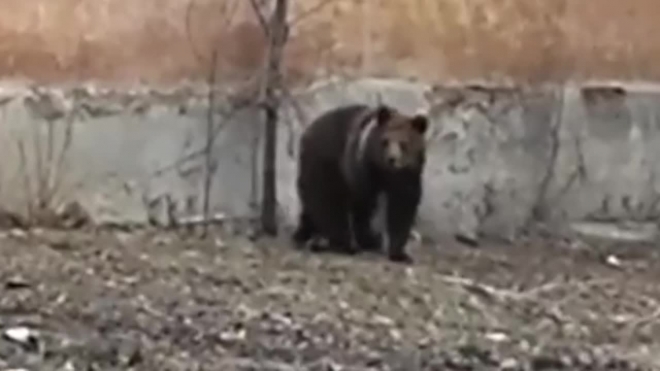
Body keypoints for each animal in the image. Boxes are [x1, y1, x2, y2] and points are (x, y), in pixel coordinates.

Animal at [292, 103, 428, 264]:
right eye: (385, 141)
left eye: (404, 144)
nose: (392, 159)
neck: (383, 172)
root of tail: (308, 131)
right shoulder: (361, 171)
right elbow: (361, 205)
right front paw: (365, 239)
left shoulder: (406, 177)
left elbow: (401, 208)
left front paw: (399, 253)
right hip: (323, 163)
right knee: (326, 202)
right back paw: (343, 243)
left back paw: (305, 233)